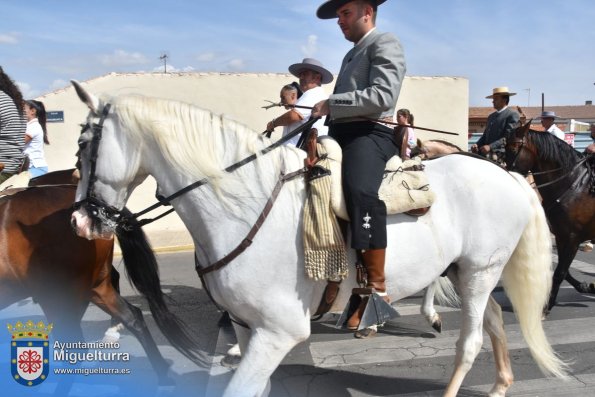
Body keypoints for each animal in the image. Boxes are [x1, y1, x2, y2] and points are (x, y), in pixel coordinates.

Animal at [70, 81, 568, 396]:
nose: (79, 224)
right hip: (466, 272)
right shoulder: (249, 328)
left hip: (482, 270)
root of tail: (507, 174)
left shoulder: (279, 331)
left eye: (82, 147)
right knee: (495, 321)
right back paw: (500, 382)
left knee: (471, 342)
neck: (245, 203)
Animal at [508, 122, 595, 314]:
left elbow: (560, 272)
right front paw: (585, 286)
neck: (573, 185)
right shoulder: (562, 236)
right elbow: (563, 271)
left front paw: (547, 306)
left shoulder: (572, 238)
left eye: (514, 147)